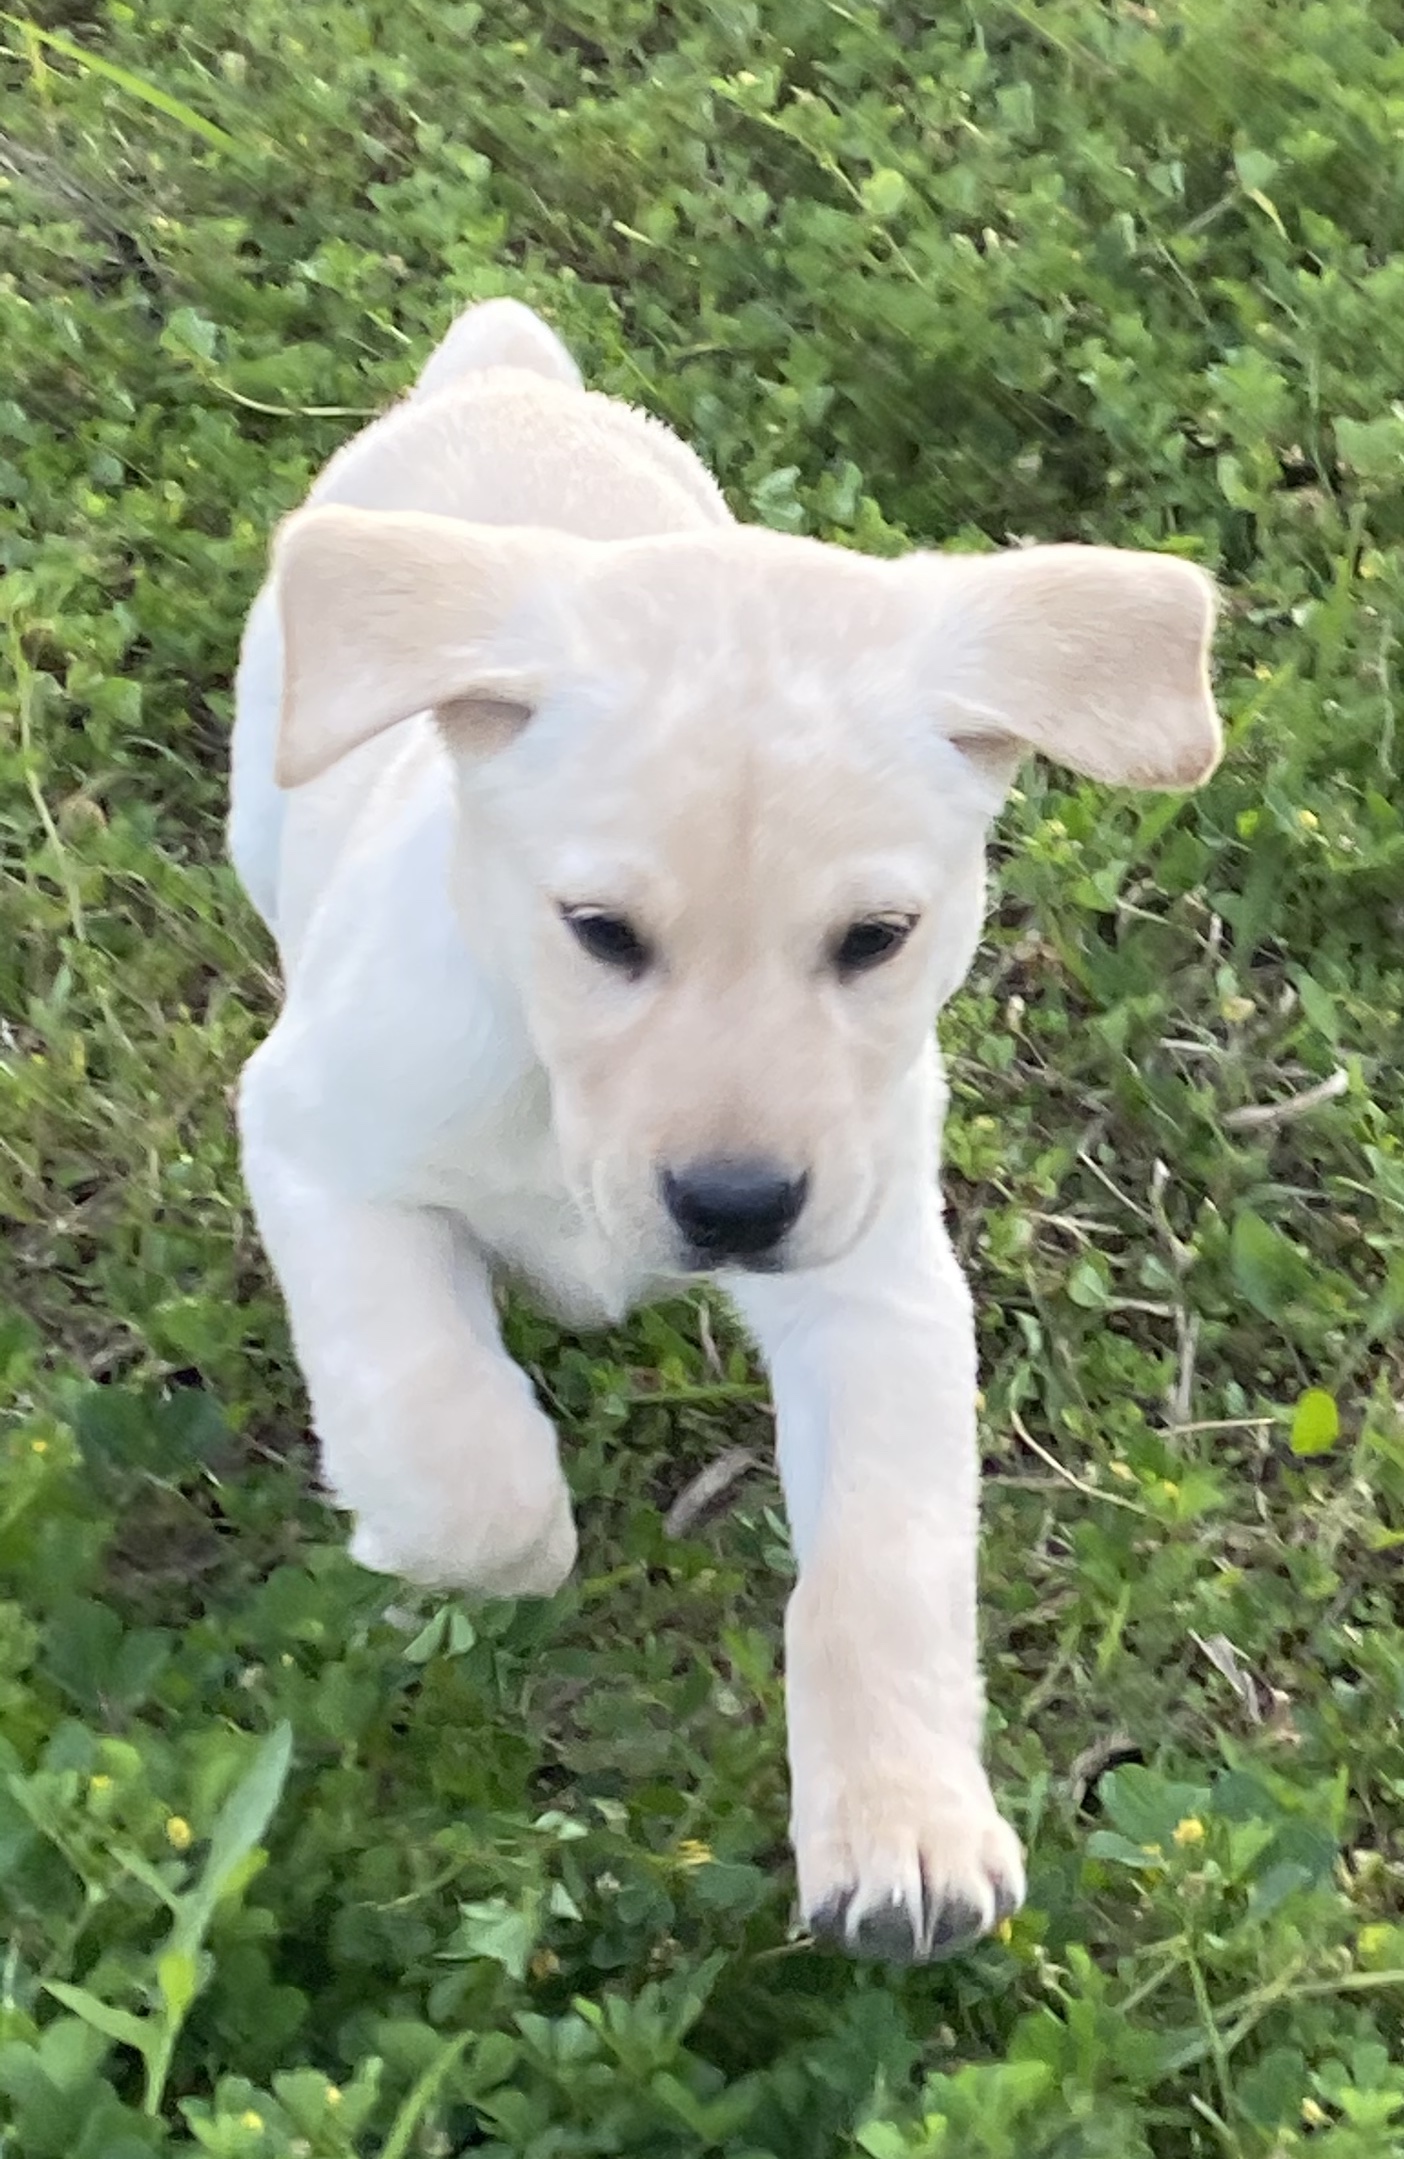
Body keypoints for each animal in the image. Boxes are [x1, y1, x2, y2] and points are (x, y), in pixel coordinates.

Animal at [226, 295, 1209, 1969]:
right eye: (600, 931)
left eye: (878, 937)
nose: (737, 1205)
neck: (551, 1082)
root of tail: (506, 374)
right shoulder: (313, 1140)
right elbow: (452, 1446)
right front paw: (450, 1538)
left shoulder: (875, 1275)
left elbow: (879, 1566)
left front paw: (903, 1830)